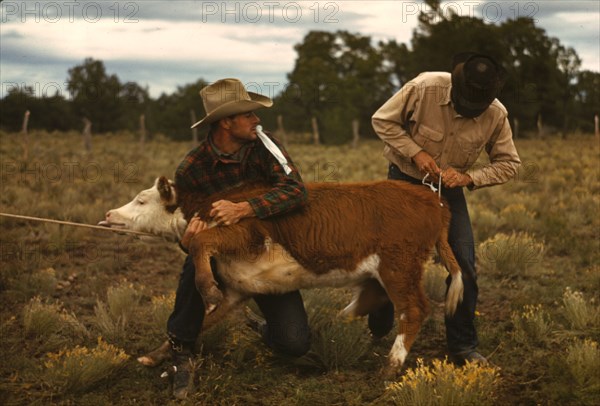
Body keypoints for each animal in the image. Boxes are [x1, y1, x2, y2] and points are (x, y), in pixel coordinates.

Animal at [102, 176, 464, 372]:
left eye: (141, 200)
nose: (109, 214)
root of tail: (434, 201)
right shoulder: (239, 289)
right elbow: (204, 320)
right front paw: (156, 355)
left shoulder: (243, 234)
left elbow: (199, 243)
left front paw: (207, 290)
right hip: (382, 271)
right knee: (368, 301)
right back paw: (327, 329)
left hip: (399, 265)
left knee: (414, 309)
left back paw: (391, 364)